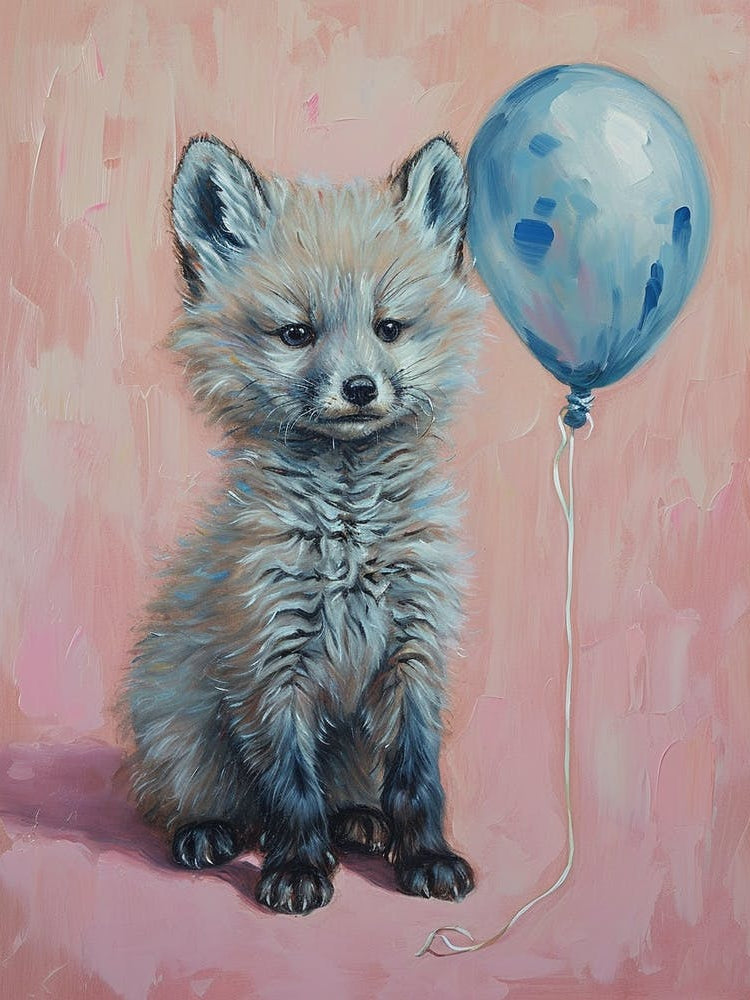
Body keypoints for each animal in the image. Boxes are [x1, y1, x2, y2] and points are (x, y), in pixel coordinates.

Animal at [124, 132, 482, 914]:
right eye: (296, 333)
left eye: (389, 328)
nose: (360, 388)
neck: (348, 533)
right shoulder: (267, 656)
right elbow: (289, 785)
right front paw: (296, 871)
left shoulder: (414, 652)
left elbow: (419, 781)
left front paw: (427, 858)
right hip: (182, 732)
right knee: (207, 801)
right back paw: (209, 831)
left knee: (349, 792)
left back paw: (359, 821)